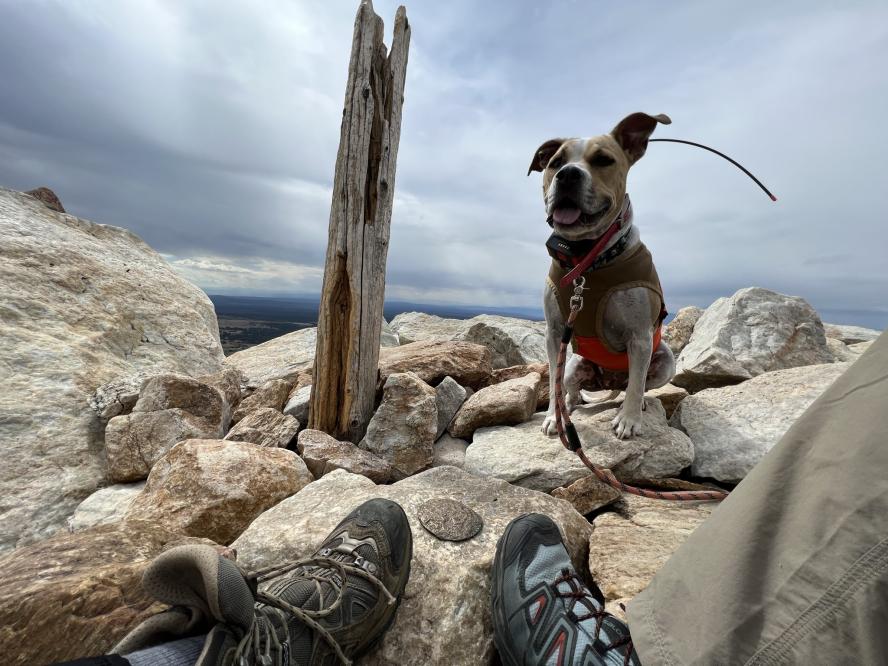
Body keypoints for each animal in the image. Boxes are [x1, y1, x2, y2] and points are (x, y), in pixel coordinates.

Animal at [532, 111, 676, 438]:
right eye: (555, 162)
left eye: (603, 160)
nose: (568, 175)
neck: (586, 260)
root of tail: (609, 382)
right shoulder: (554, 333)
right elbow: (553, 377)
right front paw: (553, 417)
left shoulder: (640, 336)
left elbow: (637, 383)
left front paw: (629, 420)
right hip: (575, 364)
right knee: (570, 386)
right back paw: (569, 406)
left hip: (665, 360)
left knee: (637, 384)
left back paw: (636, 403)